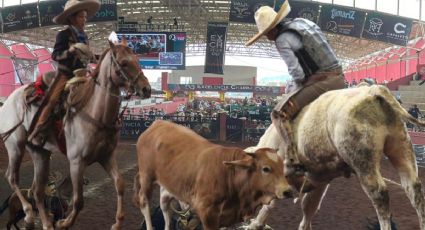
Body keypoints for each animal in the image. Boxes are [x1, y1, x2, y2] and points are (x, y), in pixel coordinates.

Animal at [0, 40, 152, 230]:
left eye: (137, 60)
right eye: (124, 63)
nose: (146, 89)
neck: (95, 114)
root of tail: (8, 102)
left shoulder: (107, 156)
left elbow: (120, 184)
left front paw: (117, 222)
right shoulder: (76, 162)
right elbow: (78, 200)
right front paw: (63, 222)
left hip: (39, 152)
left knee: (37, 191)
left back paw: (46, 223)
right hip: (15, 146)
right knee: (12, 178)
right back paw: (28, 215)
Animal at [132, 120, 292, 230]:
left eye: (281, 167)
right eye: (266, 169)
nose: (288, 191)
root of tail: (156, 124)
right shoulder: (208, 213)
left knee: (165, 210)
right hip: (147, 177)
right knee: (145, 203)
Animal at [247, 85, 424, 230]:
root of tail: (373, 91)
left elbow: (272, 202)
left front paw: (256, 224)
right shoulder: (319, 179)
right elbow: (310, 206)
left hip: (362, 161)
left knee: (379, 194)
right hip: (401, 147)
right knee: (413, 188)